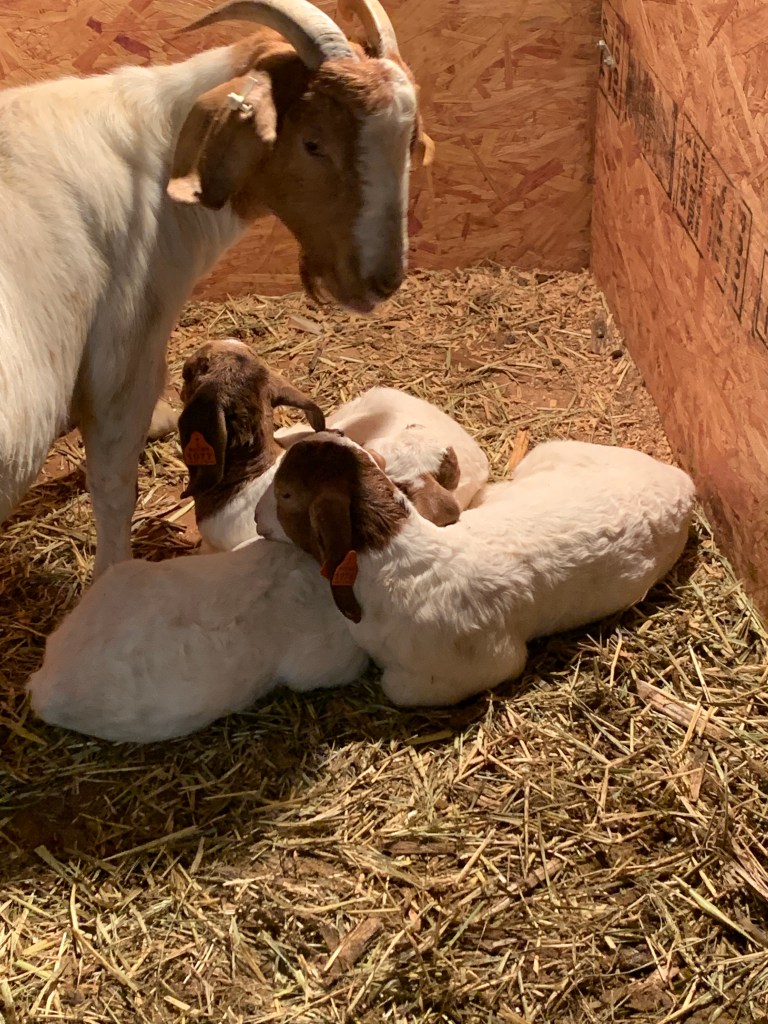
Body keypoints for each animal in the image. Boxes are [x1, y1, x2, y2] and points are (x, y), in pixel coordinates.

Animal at [0, 0, 431, 577]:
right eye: (312, 142)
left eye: (408, 142)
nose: (381, 281)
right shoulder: (124, 358)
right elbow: (114, 486)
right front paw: (114, 574)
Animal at [254, 433, 696, 708]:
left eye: (286, 494)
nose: (258, 521)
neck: (399, 558)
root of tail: (684, 483)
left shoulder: (476, 667)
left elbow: (395, 688)